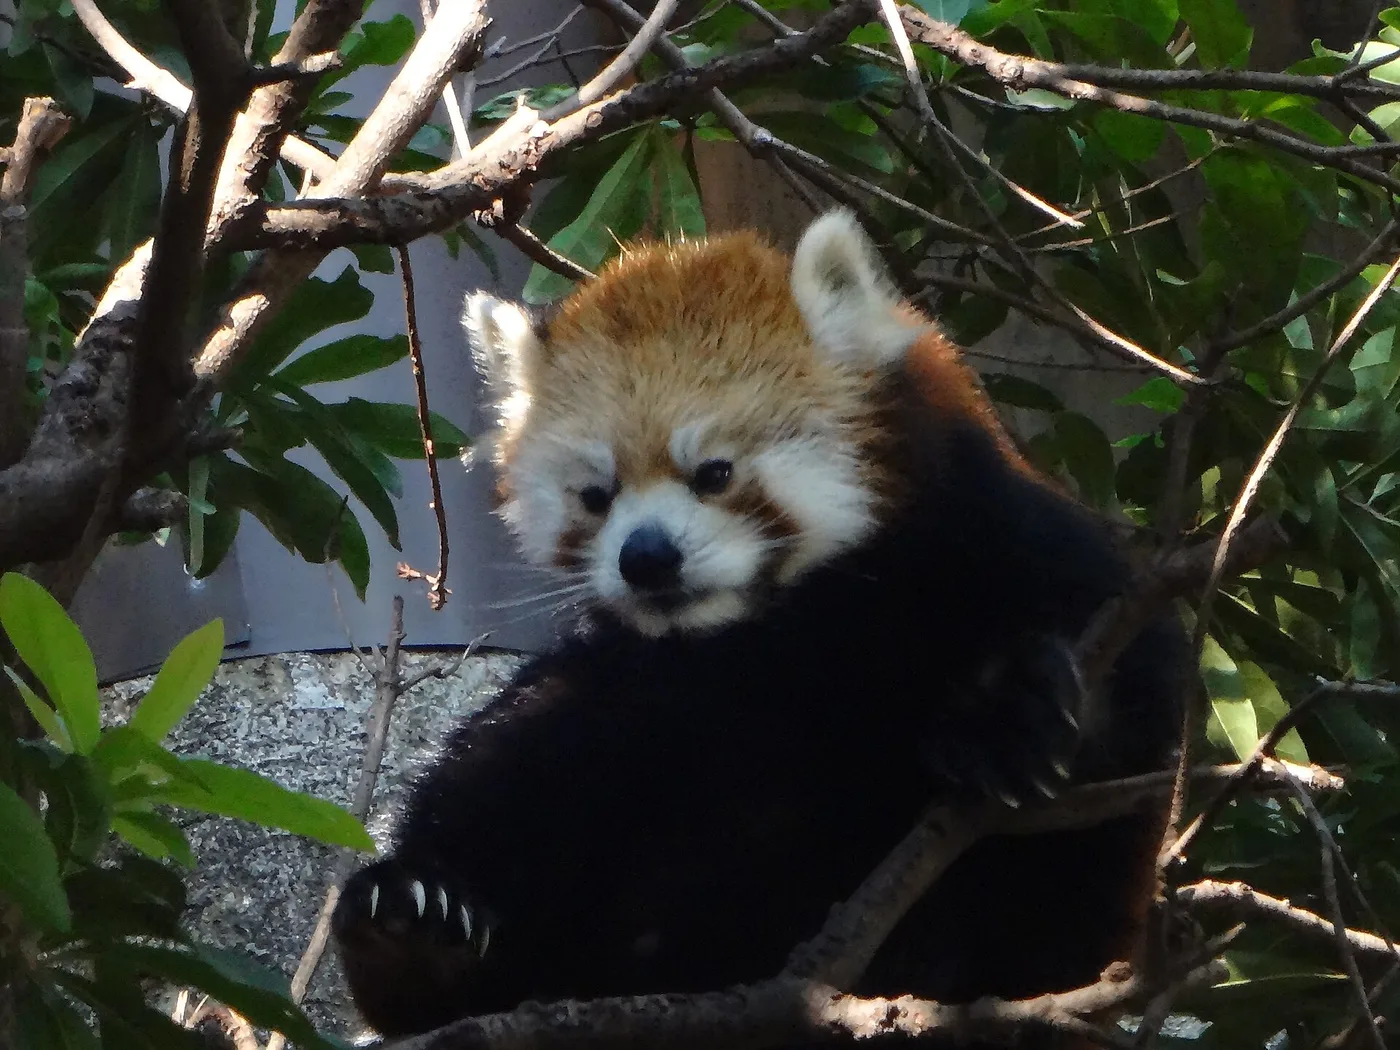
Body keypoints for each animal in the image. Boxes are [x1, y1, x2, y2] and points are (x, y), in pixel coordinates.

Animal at [330, 211, 1188, 1045]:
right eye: (596, 495)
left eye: (715, 473)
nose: (647, 559)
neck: (780, 631)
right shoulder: (659, 665)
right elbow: (508, 757)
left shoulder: (1010, 539)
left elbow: (1134, 708)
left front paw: (1009, 709)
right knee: (522, 754)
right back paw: (413, 937)